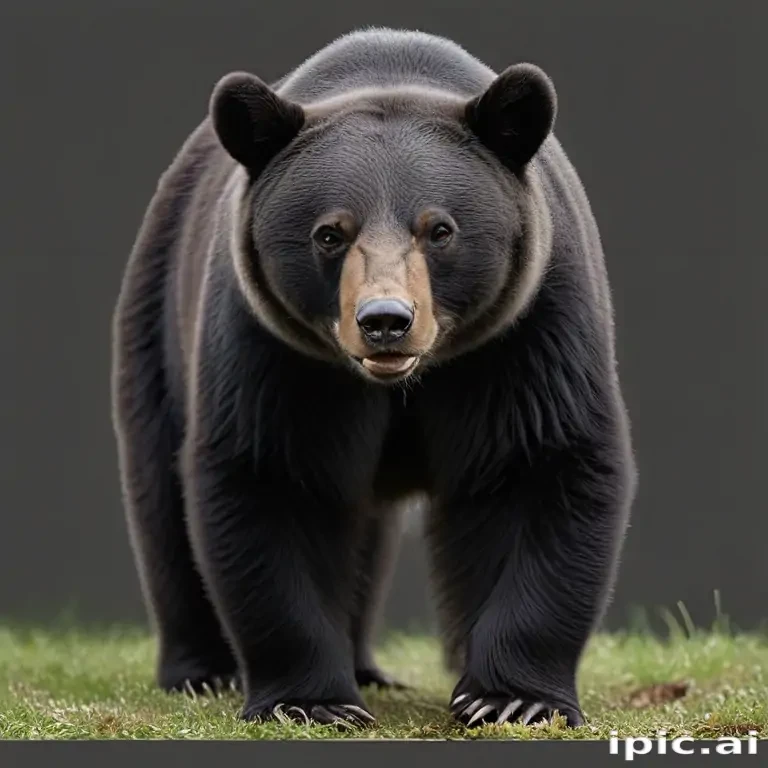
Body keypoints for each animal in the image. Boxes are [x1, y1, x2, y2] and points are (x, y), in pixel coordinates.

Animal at [111, 27, 637, 729]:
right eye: (330, 233)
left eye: (439, 229)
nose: (386, 320)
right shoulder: (273, 351)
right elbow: (271, 477)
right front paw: (312, 701)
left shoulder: (529, 332)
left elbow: (541, 465)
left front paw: (510, 698)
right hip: (159, 316)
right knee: (162, 502)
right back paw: (203, 671)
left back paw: (366, 665)